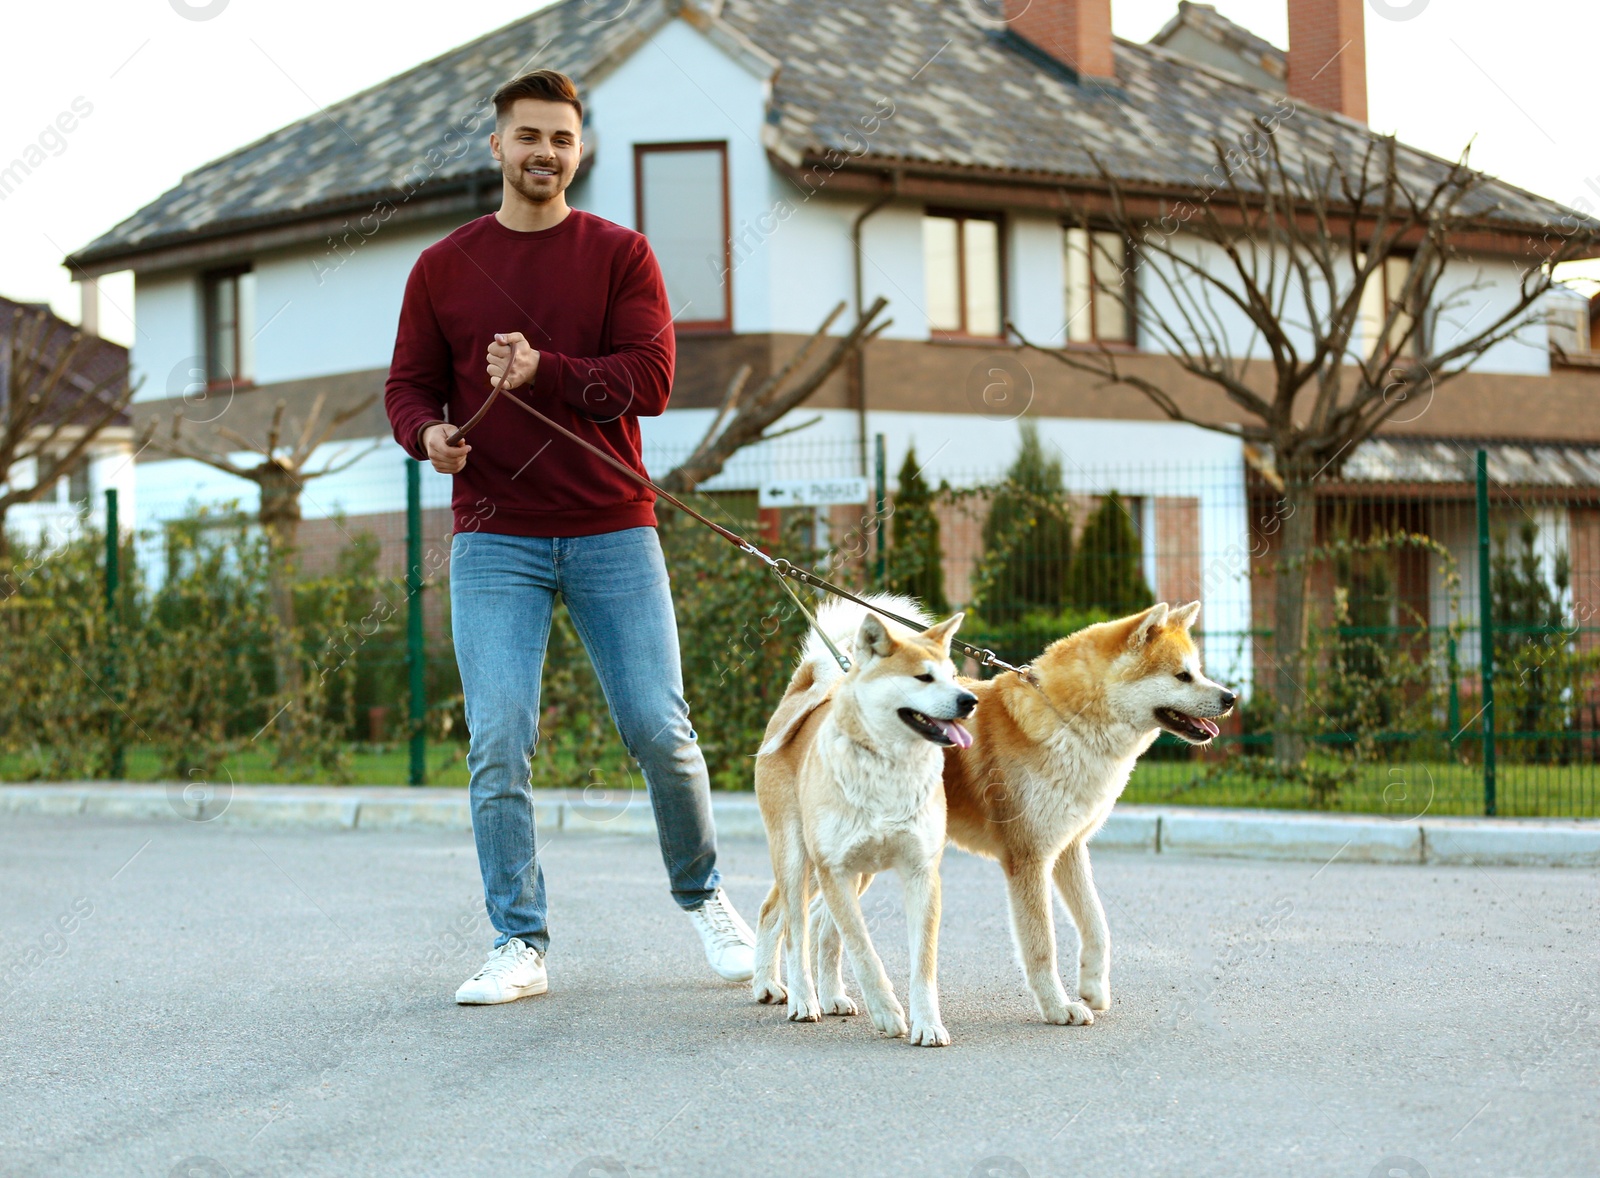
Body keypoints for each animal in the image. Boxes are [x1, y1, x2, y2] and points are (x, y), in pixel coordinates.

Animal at [748, 598, 972, 1049]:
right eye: (923, 677)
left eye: (953, 675)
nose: (969, 700)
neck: (889, 768)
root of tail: (800, 696)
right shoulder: (834, 869)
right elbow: (862, 950)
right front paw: (886, 1011)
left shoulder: (920, 873)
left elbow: (922, 964)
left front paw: (927, 1023)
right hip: (799, 858)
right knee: (789, 924)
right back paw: (796, 996)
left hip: (852, 874)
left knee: (818, 927)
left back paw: (828, 993)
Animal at [819, 601, 1228, 1024]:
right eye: (1182, 676)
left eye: (1198, 671)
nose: (1230, 698)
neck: (1069, 722)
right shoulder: (1029, 859)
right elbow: (1041, 945)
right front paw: (1058, 1006)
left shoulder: (1069, 849)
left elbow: (1097, 926)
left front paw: (1093, 987)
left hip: (859, 866)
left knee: (822, 924)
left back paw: (830, 997)